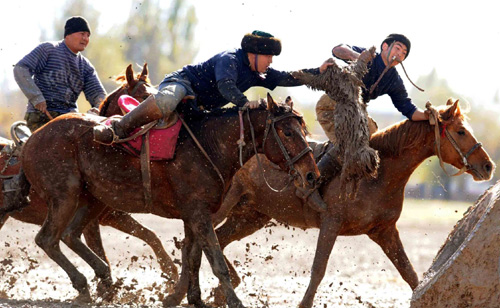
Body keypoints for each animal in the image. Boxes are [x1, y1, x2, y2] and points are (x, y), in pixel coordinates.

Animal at [0, 63, 180, 288]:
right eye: (143, 96)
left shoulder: (113, 215)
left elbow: (150, 235)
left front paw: (171, 272)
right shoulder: (94, 223)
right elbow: (100, 252)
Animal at [15, 91, 322, 308]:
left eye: (304, 130)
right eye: (287, 132)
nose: (311, 175)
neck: (209, 144)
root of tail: (31, 140)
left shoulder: (194, 215)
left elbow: (194, 257)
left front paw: (194, 298)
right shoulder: (199, 213)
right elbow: (216, 261)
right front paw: (234, 301)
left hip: (94, 199)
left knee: (69, 234)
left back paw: (103, 276)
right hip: (64, 196)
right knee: (47, 239)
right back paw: (83, 283)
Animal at [173, 98, 496, 308]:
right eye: (460, 131)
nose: (488, 166)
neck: (377, 173)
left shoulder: (385, 231)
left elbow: (411, 274)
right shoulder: (331, 224)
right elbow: (318, 271)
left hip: (251, 216)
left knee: (216, 241)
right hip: (217, 208)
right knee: (195, 241)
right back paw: (179, 292)